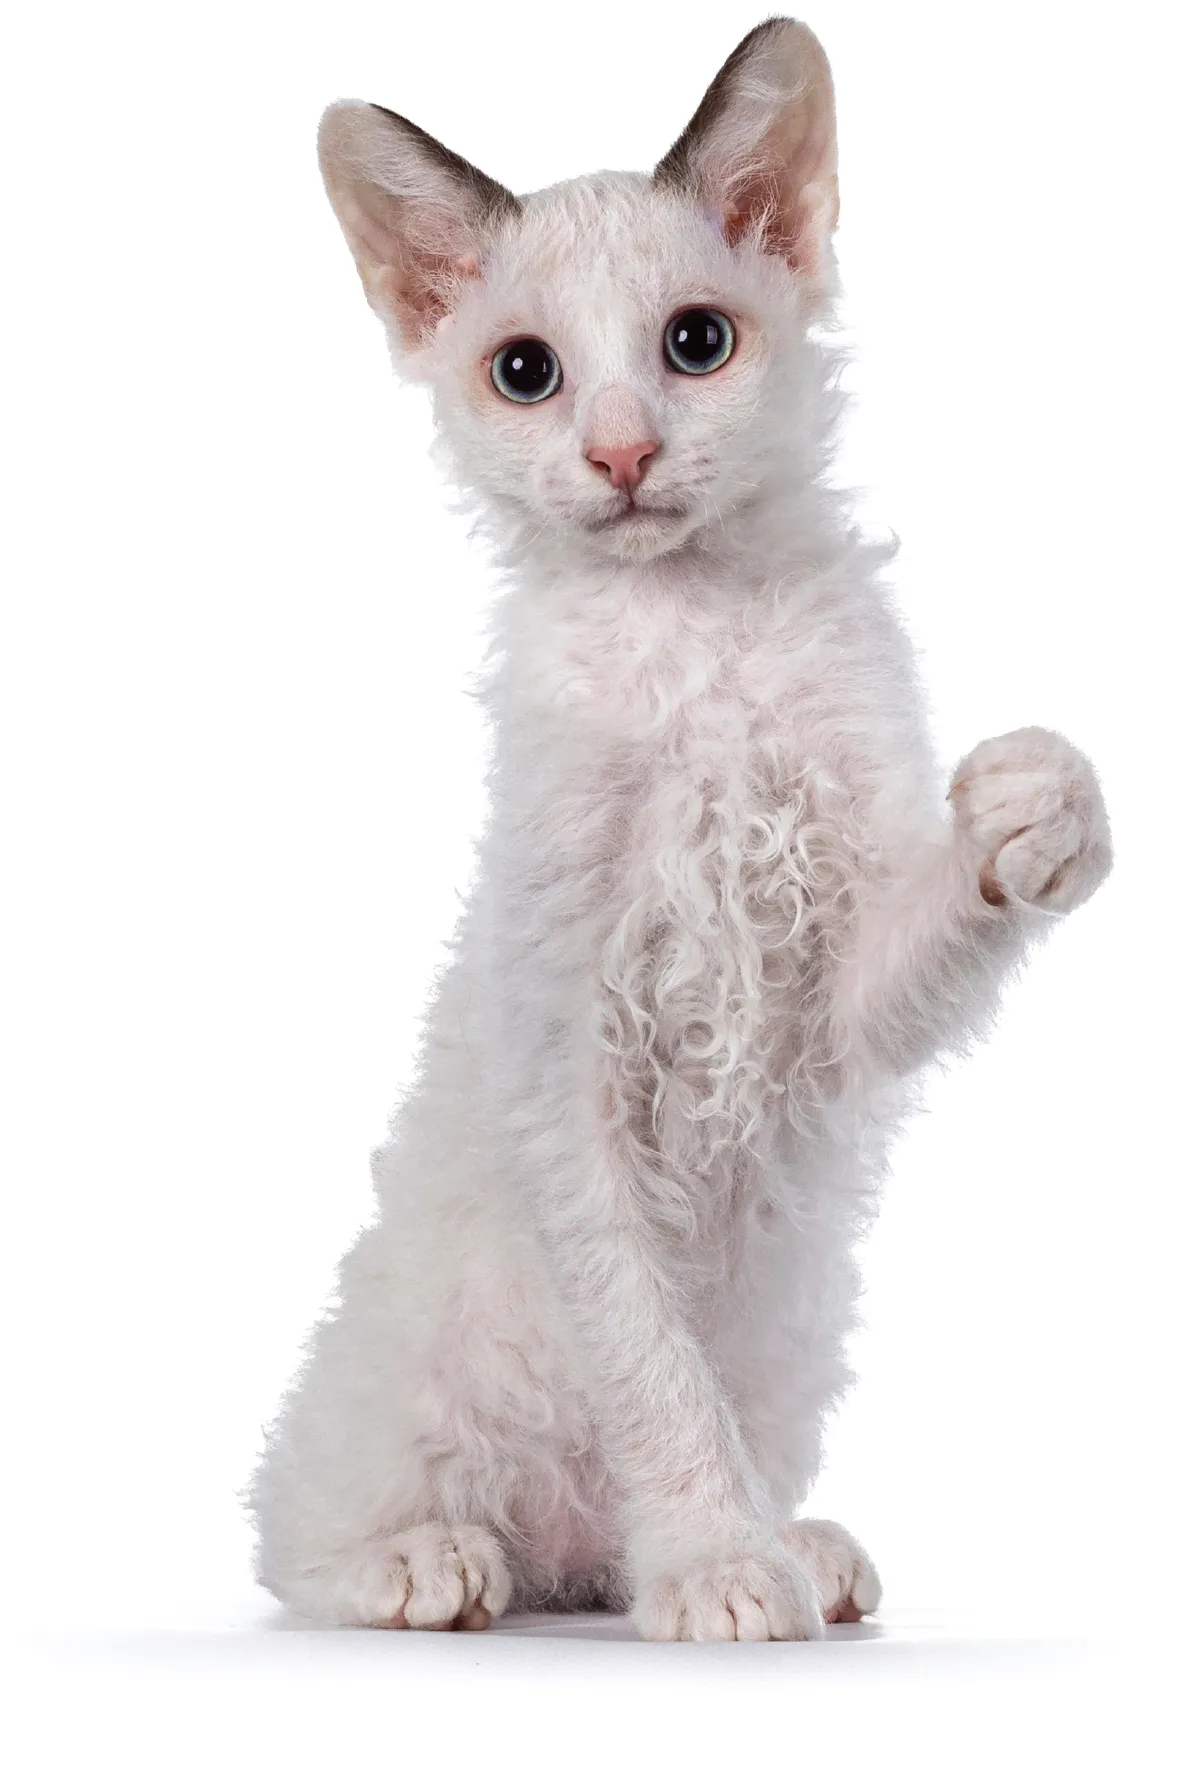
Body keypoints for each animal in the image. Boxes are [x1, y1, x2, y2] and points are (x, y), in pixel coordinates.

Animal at [247, 20, 1116, 1643]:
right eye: (525, 373)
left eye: (696, 345)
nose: (622, 455)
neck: (693, 633)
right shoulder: (561, 1067)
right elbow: (650, 1366)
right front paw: (714, 1561)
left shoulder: (832, 1008)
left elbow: (934, 923)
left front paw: (1035, 813)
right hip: (399, 1383)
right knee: (297, 1525)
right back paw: (435, 1562)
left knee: (594, 1539)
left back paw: (781, 1541)